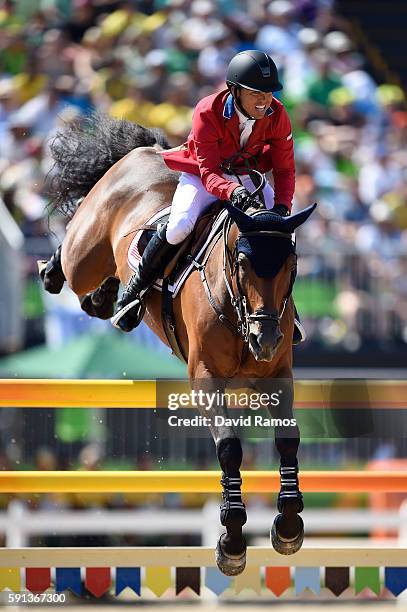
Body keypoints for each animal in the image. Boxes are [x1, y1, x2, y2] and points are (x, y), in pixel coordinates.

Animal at [41, 113, 318, 572]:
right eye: (242, 261)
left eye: (292, 264)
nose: (264, 339)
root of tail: (143, 151)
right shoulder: (204, 380)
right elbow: (229, 448)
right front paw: (233, 541)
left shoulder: (278, 375)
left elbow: (288, 439)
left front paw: (289, 526)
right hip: (86, 252)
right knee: (74, 257)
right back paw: (53, 270)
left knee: (97, 291)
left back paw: (111, 300)